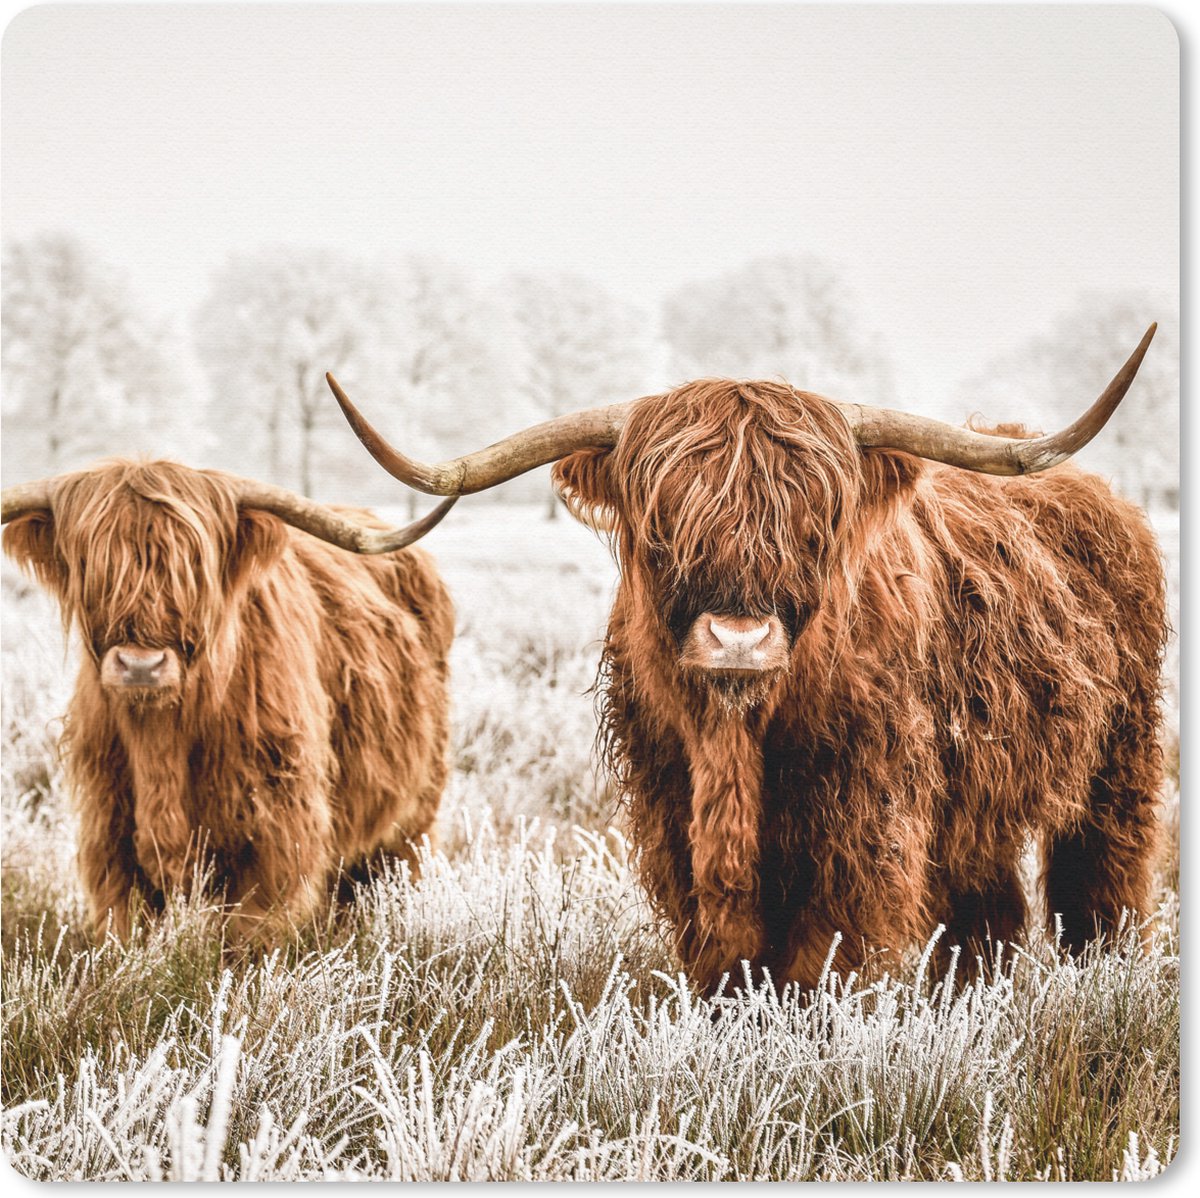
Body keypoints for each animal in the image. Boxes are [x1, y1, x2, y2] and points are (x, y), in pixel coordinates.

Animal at [2, 461, 457, 944]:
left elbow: (248, 934)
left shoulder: (275, 834)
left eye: (195, 567)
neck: (161, 741)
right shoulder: (109, 834)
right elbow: (126, 926)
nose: (141, 666)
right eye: (89, 563)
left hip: (414, 815)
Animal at [326, 325, 1166, 995]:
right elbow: (724, 955)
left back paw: (1104, 975)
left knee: (1101, 882)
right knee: (988, 912)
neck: (737, 741)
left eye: (813, 526)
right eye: (664, 528)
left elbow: (821, 957)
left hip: (1119, 760)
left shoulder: (865, 820)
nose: (738, 639)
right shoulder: (672, 810)